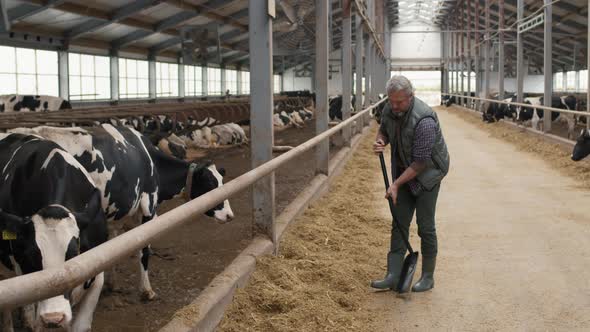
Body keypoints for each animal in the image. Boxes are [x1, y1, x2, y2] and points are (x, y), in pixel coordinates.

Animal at [11, 124, 234, 300]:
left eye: (221, 181)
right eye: (210, 183)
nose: (229, 216)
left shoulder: (116, 216)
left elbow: (112, 248)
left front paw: (112, 284)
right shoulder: (149, 206)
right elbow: (144, 250)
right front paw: (147, 291)